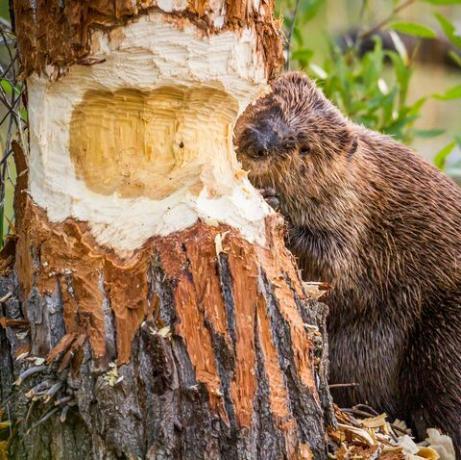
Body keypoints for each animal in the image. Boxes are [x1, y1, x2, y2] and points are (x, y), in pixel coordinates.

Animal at [235, 73, 460, 456]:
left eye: (305, 147)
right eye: (271, 102)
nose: (258, 142)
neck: (357, 176)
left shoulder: (356, 216)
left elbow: (335, 265)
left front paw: (273, 204)